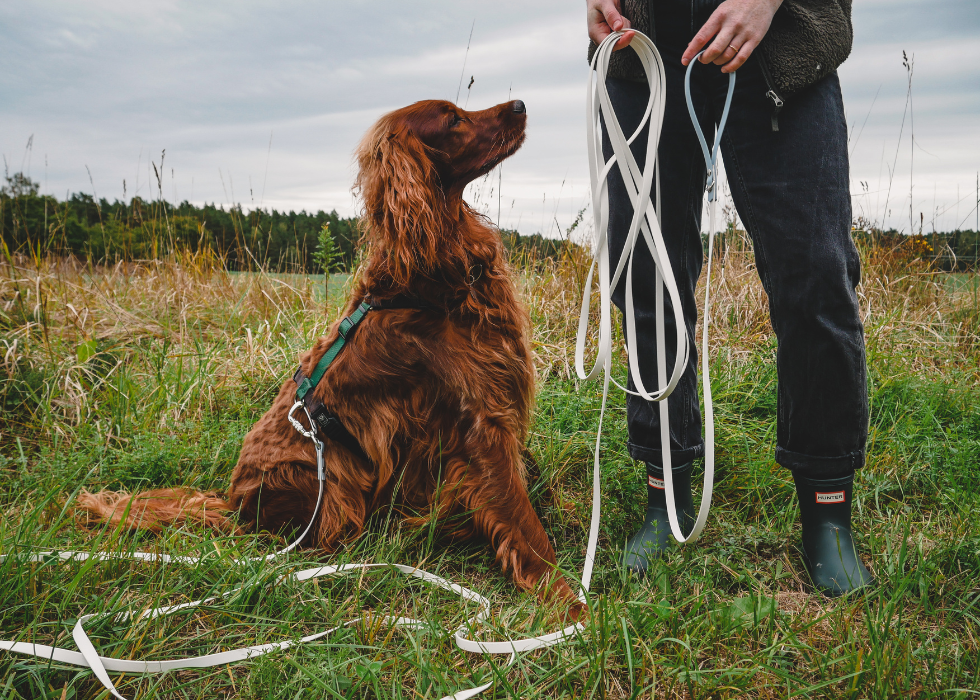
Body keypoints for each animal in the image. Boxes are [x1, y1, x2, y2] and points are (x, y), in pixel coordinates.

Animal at [80, 98, 580, 612]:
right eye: (453, 119)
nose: (520, 104)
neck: (425, 285)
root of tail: (233, 505)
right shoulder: (480, 418)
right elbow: (520, 514)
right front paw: (564, 596)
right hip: (327, 479)